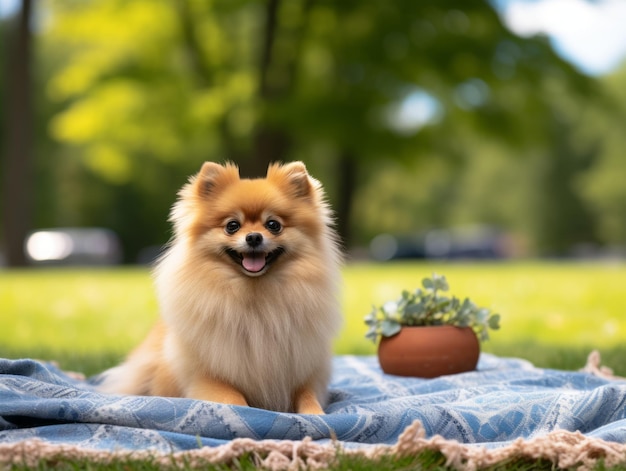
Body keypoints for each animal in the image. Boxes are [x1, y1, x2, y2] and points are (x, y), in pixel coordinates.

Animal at [98, 161, 342, 412]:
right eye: (232, 226)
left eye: (273, 225)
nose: (253, 237)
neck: (257, 298)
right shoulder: (207, 377)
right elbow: (234, 400)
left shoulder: (304, 372)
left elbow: (309, 398)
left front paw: (316, 414)